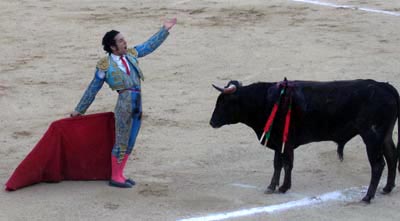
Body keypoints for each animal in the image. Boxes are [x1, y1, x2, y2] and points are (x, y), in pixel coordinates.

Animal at [209, 80, 400, 204]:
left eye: (223, 102)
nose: (211, 122)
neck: (265, 101)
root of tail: (386, 87)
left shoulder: (286, 142)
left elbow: (287, 164)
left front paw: (284, 187)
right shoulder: (278, 142)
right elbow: (277, 164)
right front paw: (271, 186)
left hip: (372, 136)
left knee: (378, 164)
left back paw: (367, 197)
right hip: (385, 135)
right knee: (392, 156)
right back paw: (387, 188)